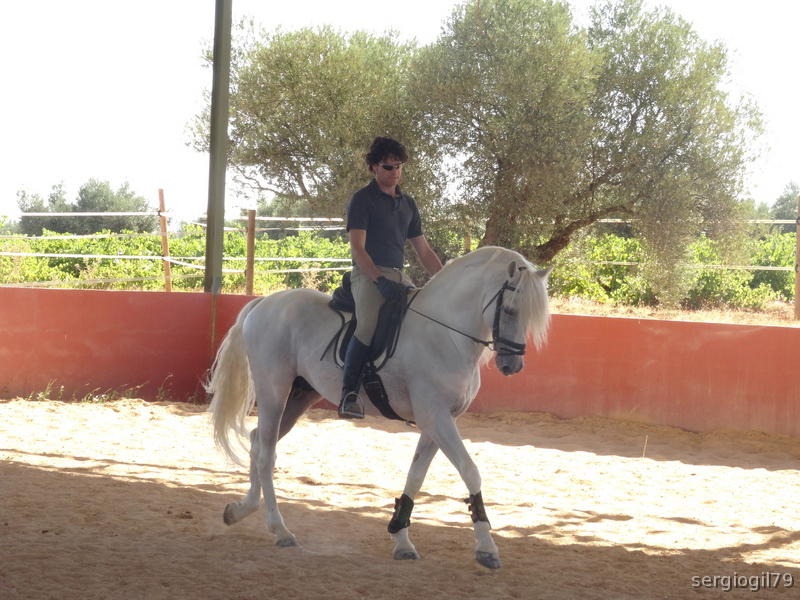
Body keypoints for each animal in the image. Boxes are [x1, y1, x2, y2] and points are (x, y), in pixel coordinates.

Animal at [207, 246, 552, 569]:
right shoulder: (436, 417)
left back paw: (240, 510)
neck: (446, 334)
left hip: (299, 396)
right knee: (266, 453)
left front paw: (401, 537)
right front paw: (486, 548)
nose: (511, 366)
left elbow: (416, 477)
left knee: (257, 442)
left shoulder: (438, 420)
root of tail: (264, 303)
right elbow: (470, 471)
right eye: (509, 310)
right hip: (274, 390)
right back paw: (280, 530)